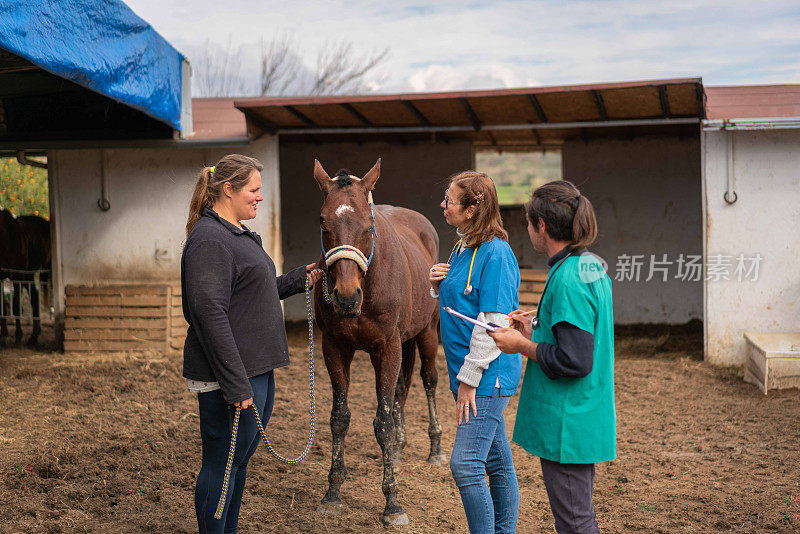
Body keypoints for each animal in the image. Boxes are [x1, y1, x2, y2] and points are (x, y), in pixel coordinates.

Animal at [312, 159, 444, 528]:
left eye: (366, 224)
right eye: (323, 221)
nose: (345, 297)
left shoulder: (388, 347)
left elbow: (382, 422)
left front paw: (393, 504)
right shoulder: (334, 348)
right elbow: (339, 418)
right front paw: (332, 494)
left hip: (426, 333)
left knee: (428, 382)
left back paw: (435, 449)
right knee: (400, 389)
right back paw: (398, 449)